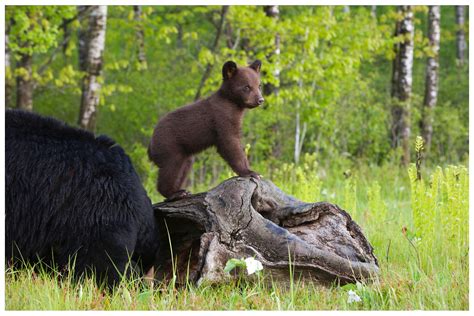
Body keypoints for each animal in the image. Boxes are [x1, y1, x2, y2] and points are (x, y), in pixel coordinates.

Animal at [149, 60, 262, 201]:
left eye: (259, 85)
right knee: (171, 168)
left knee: (184, 166)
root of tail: (150, 146)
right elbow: (230, 143)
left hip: (184, 153)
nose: (260, 100)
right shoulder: (221, 119)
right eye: (246, 87)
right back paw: (175, 193)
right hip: (169, 146)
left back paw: (182, 190)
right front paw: (251, 172)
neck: (233, 105)